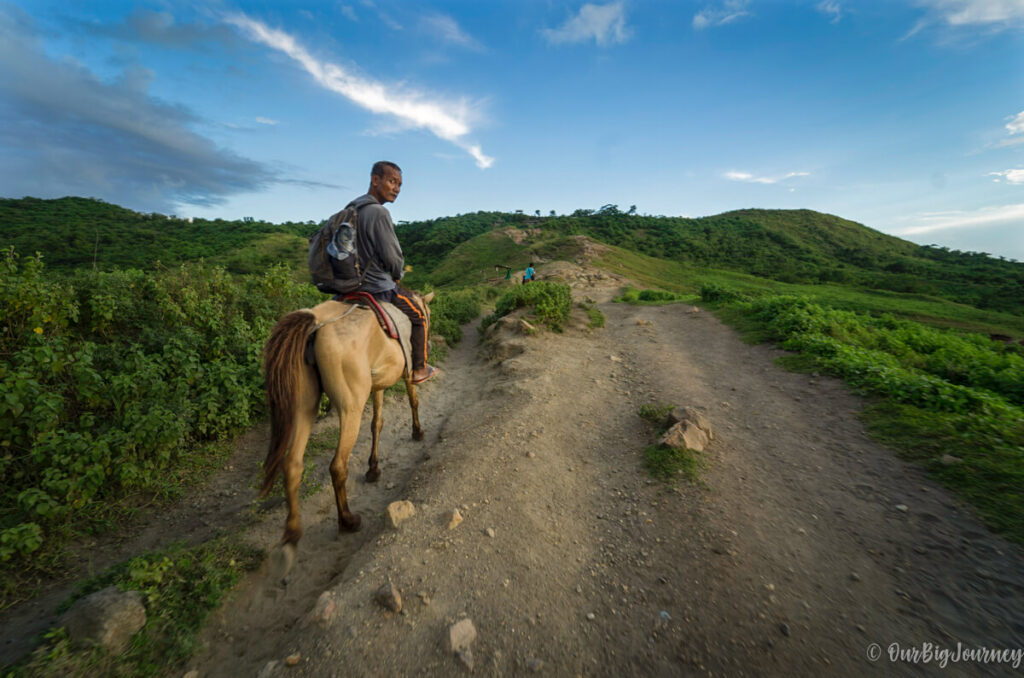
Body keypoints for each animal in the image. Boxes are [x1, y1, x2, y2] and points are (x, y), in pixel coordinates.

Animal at [260, 294, 432, 557]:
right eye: (427, 315)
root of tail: (316, 322)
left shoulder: (378, 384)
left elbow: (377, 423)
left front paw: (373, 468)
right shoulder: (407, 371)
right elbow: (413, 400)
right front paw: (417, 431)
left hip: (304, 406)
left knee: (292, 464)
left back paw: (292, 533)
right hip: (351, 407)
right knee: (338, 465)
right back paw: (348, 520)